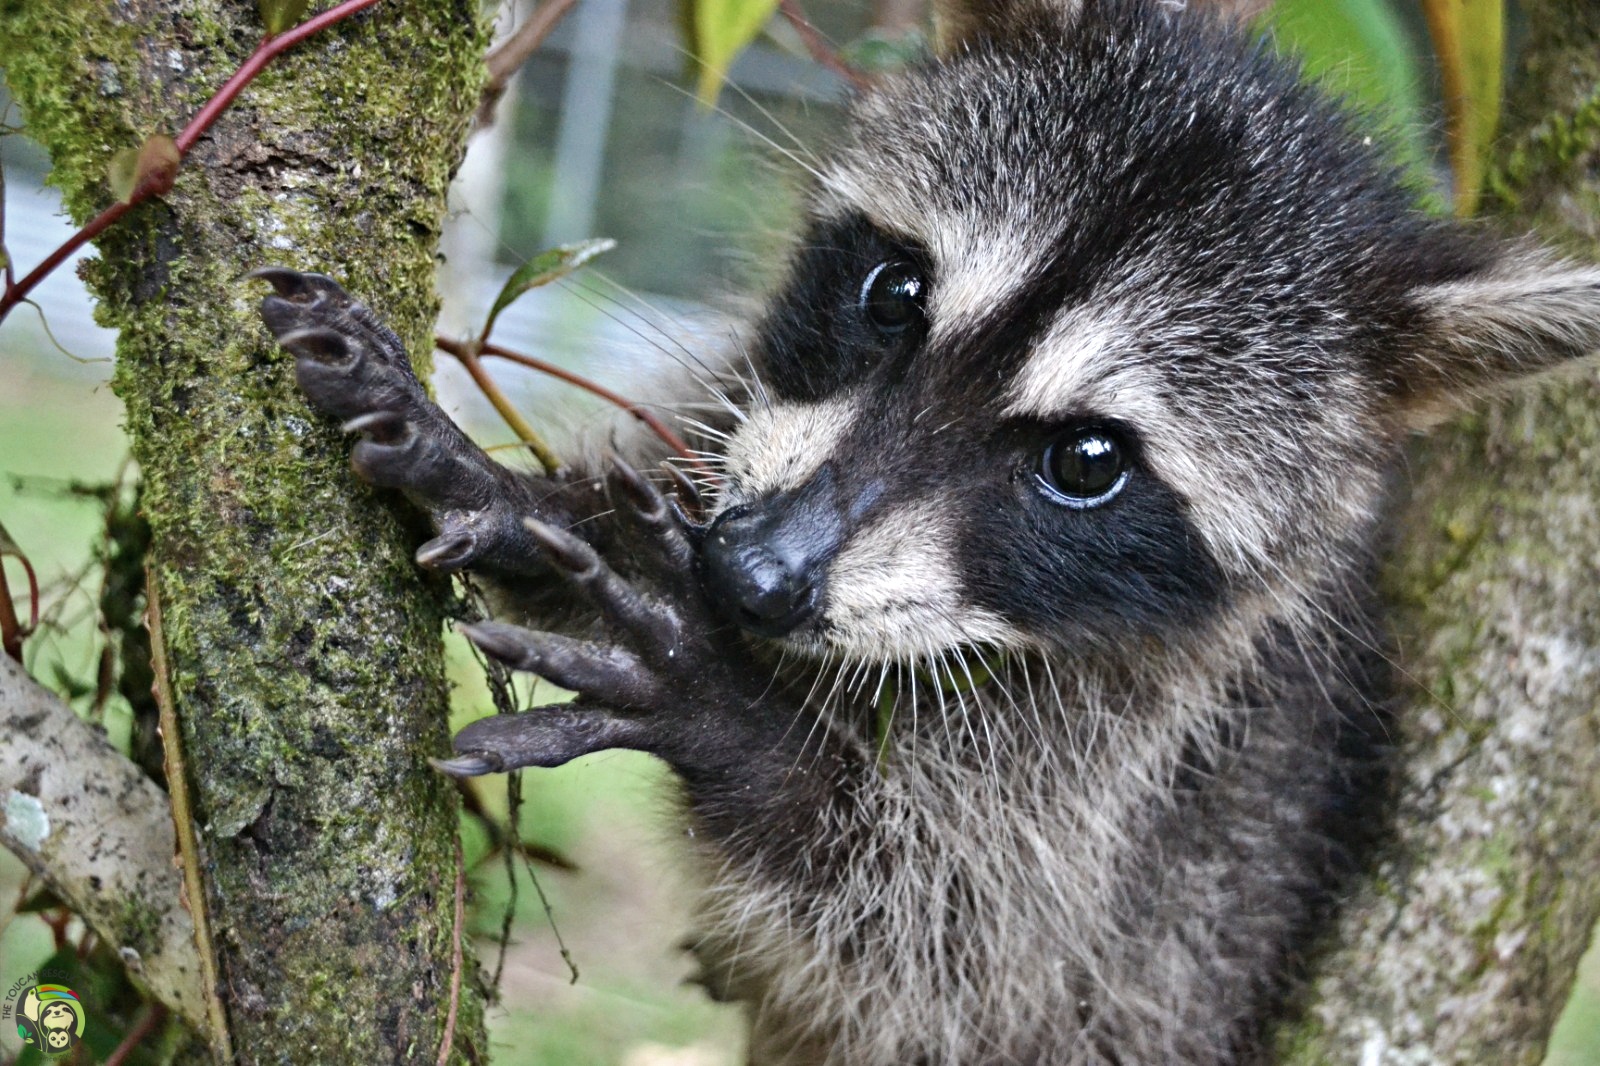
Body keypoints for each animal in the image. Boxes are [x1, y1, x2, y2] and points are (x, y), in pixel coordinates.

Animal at [255, 0, 1600, 1062]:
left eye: (1087, 462)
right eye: (894, 293)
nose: (751, 575)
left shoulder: (1153, 776)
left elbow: (956, 953)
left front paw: (738, 726)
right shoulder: (740, 422)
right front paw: (515, 498)